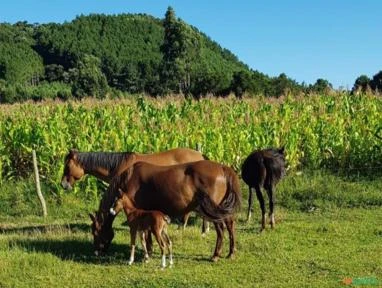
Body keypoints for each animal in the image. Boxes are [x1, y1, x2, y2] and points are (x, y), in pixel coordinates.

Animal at [89, 161, 242, 262]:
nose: (96, 251)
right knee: (230, 226)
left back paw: (216, 255)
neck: (130, 178)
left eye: (95, 232)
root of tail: (222, 168)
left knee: (221, 230)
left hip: (213, 211)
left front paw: (148, 254)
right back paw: (231, 253)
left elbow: (147, 236)